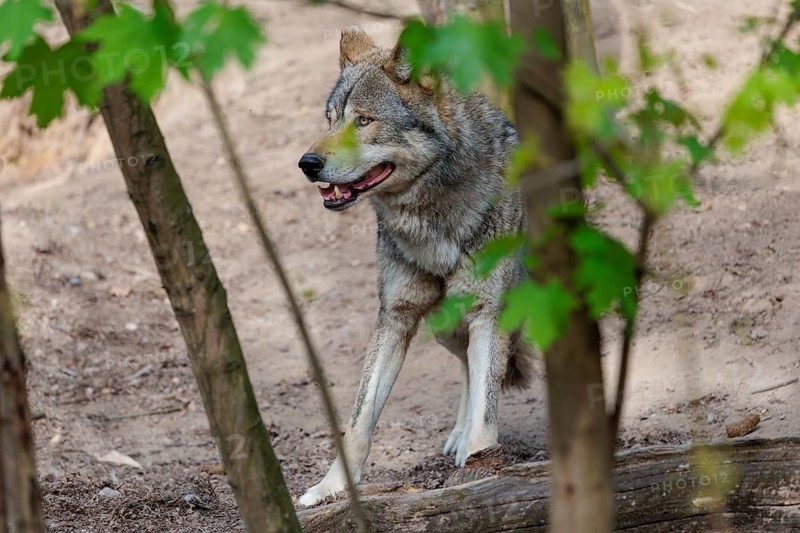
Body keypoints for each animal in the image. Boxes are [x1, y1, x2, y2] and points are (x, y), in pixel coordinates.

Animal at [296, 27, 533, 507]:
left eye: (364, 121)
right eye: (330, 120)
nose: (308, 164)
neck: (432, 222)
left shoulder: (488, 313)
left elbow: (487, 411)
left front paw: (480, 471)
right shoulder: (395, 318)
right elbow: (358, 423)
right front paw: (330, 488)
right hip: (443, 326)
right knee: (465, 367)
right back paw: (457, 436)